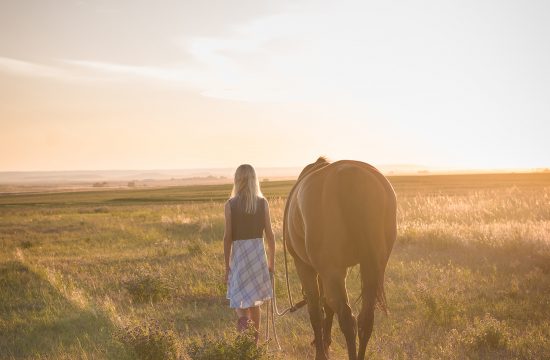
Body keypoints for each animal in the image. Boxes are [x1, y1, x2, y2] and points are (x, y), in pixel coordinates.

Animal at [284, 158, 396, 360]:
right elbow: (327, 307)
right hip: (371, 267)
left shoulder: (305, 267)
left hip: (331, 271)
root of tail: (349, 173)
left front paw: (321, 352)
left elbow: (315, 311)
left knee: (347, 319)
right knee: (365, 319)